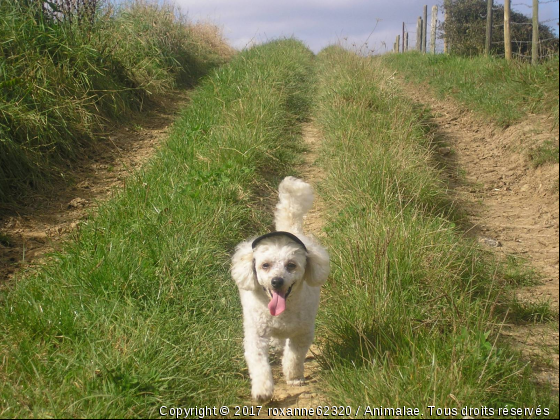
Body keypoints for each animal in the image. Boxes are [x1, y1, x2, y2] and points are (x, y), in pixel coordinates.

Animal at [231, 176, 330, 402]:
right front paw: (262, 391)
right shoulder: (256, 335)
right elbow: (259, 363)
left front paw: (294, 377)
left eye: (291, 265)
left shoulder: (302, 333)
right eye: (265, 265)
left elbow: (294, 356)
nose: (276, 281)